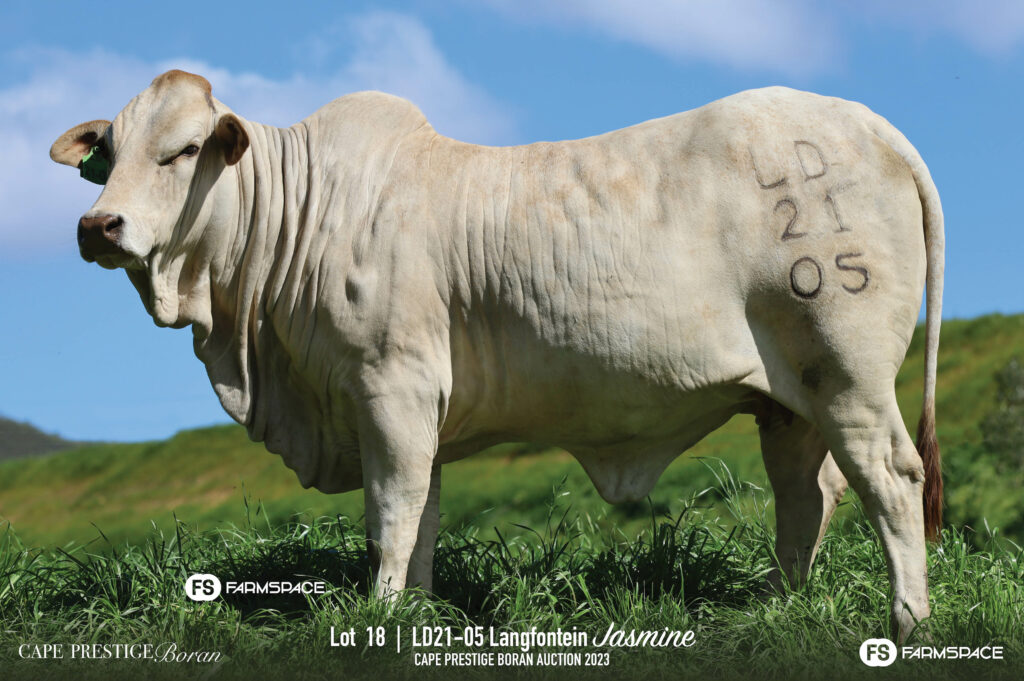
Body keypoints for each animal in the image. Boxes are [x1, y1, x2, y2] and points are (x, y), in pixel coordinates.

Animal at [51, 70, 943, 641]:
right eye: (106, 158)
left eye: (181, 151)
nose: (99, 226)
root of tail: (869, 122)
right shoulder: (416, 414)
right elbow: (424, 521)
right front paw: (413, 616)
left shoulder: (391, 387)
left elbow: (390, 516)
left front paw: (378, 615)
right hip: (789, 400)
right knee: (807, 496)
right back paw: (778, 608)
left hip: (848, 372)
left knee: (891, 478)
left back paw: (906, 619)